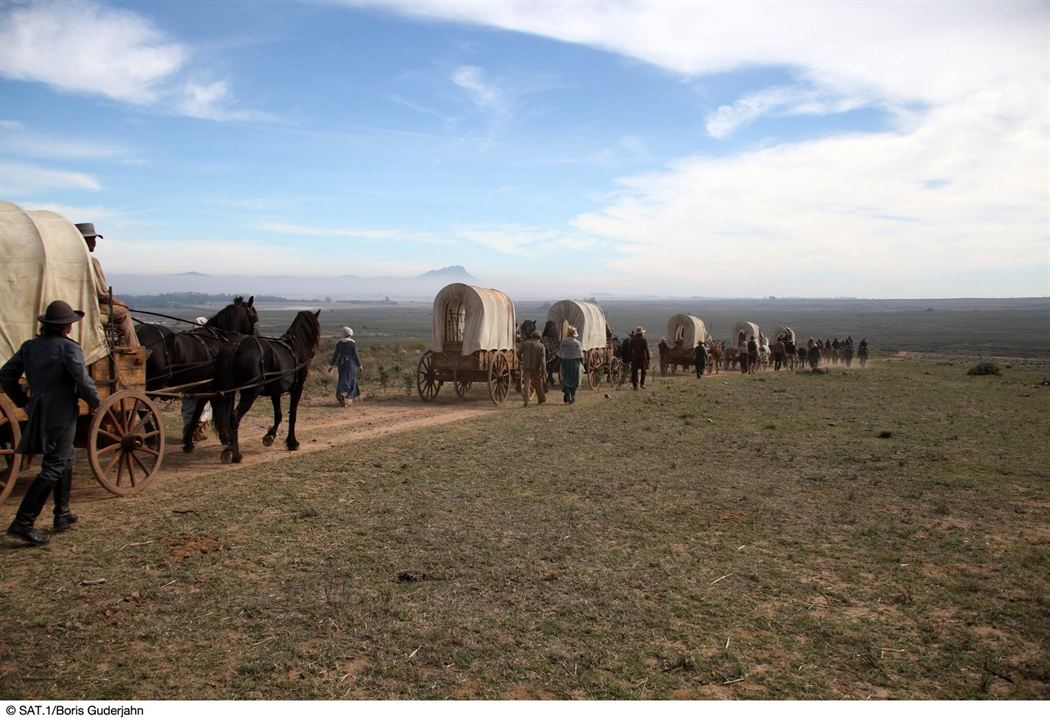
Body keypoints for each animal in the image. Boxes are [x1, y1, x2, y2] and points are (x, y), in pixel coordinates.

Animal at [135, 293, 258, 451]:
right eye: (254, 318)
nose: (256, 335)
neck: (217, 340)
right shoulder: (210, 387)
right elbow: (206, 412)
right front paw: (222, 438)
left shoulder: (205, 388)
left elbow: (201, 412)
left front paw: (190, 440)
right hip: (153, 385)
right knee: (141, 407)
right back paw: (150, 437)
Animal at [213, 310, 319, 468]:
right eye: (317, 331)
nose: (312, 353)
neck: (295, 347)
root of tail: (236, 347)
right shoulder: (297, 389)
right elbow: (292, 415)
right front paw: (292, 442)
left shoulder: (275, 392)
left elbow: (279, 415)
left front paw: (270, 436)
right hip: (250, 393)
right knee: (234, 417)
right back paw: (236, 455)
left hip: (231, 392)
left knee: (227, 417)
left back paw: (229, 449)